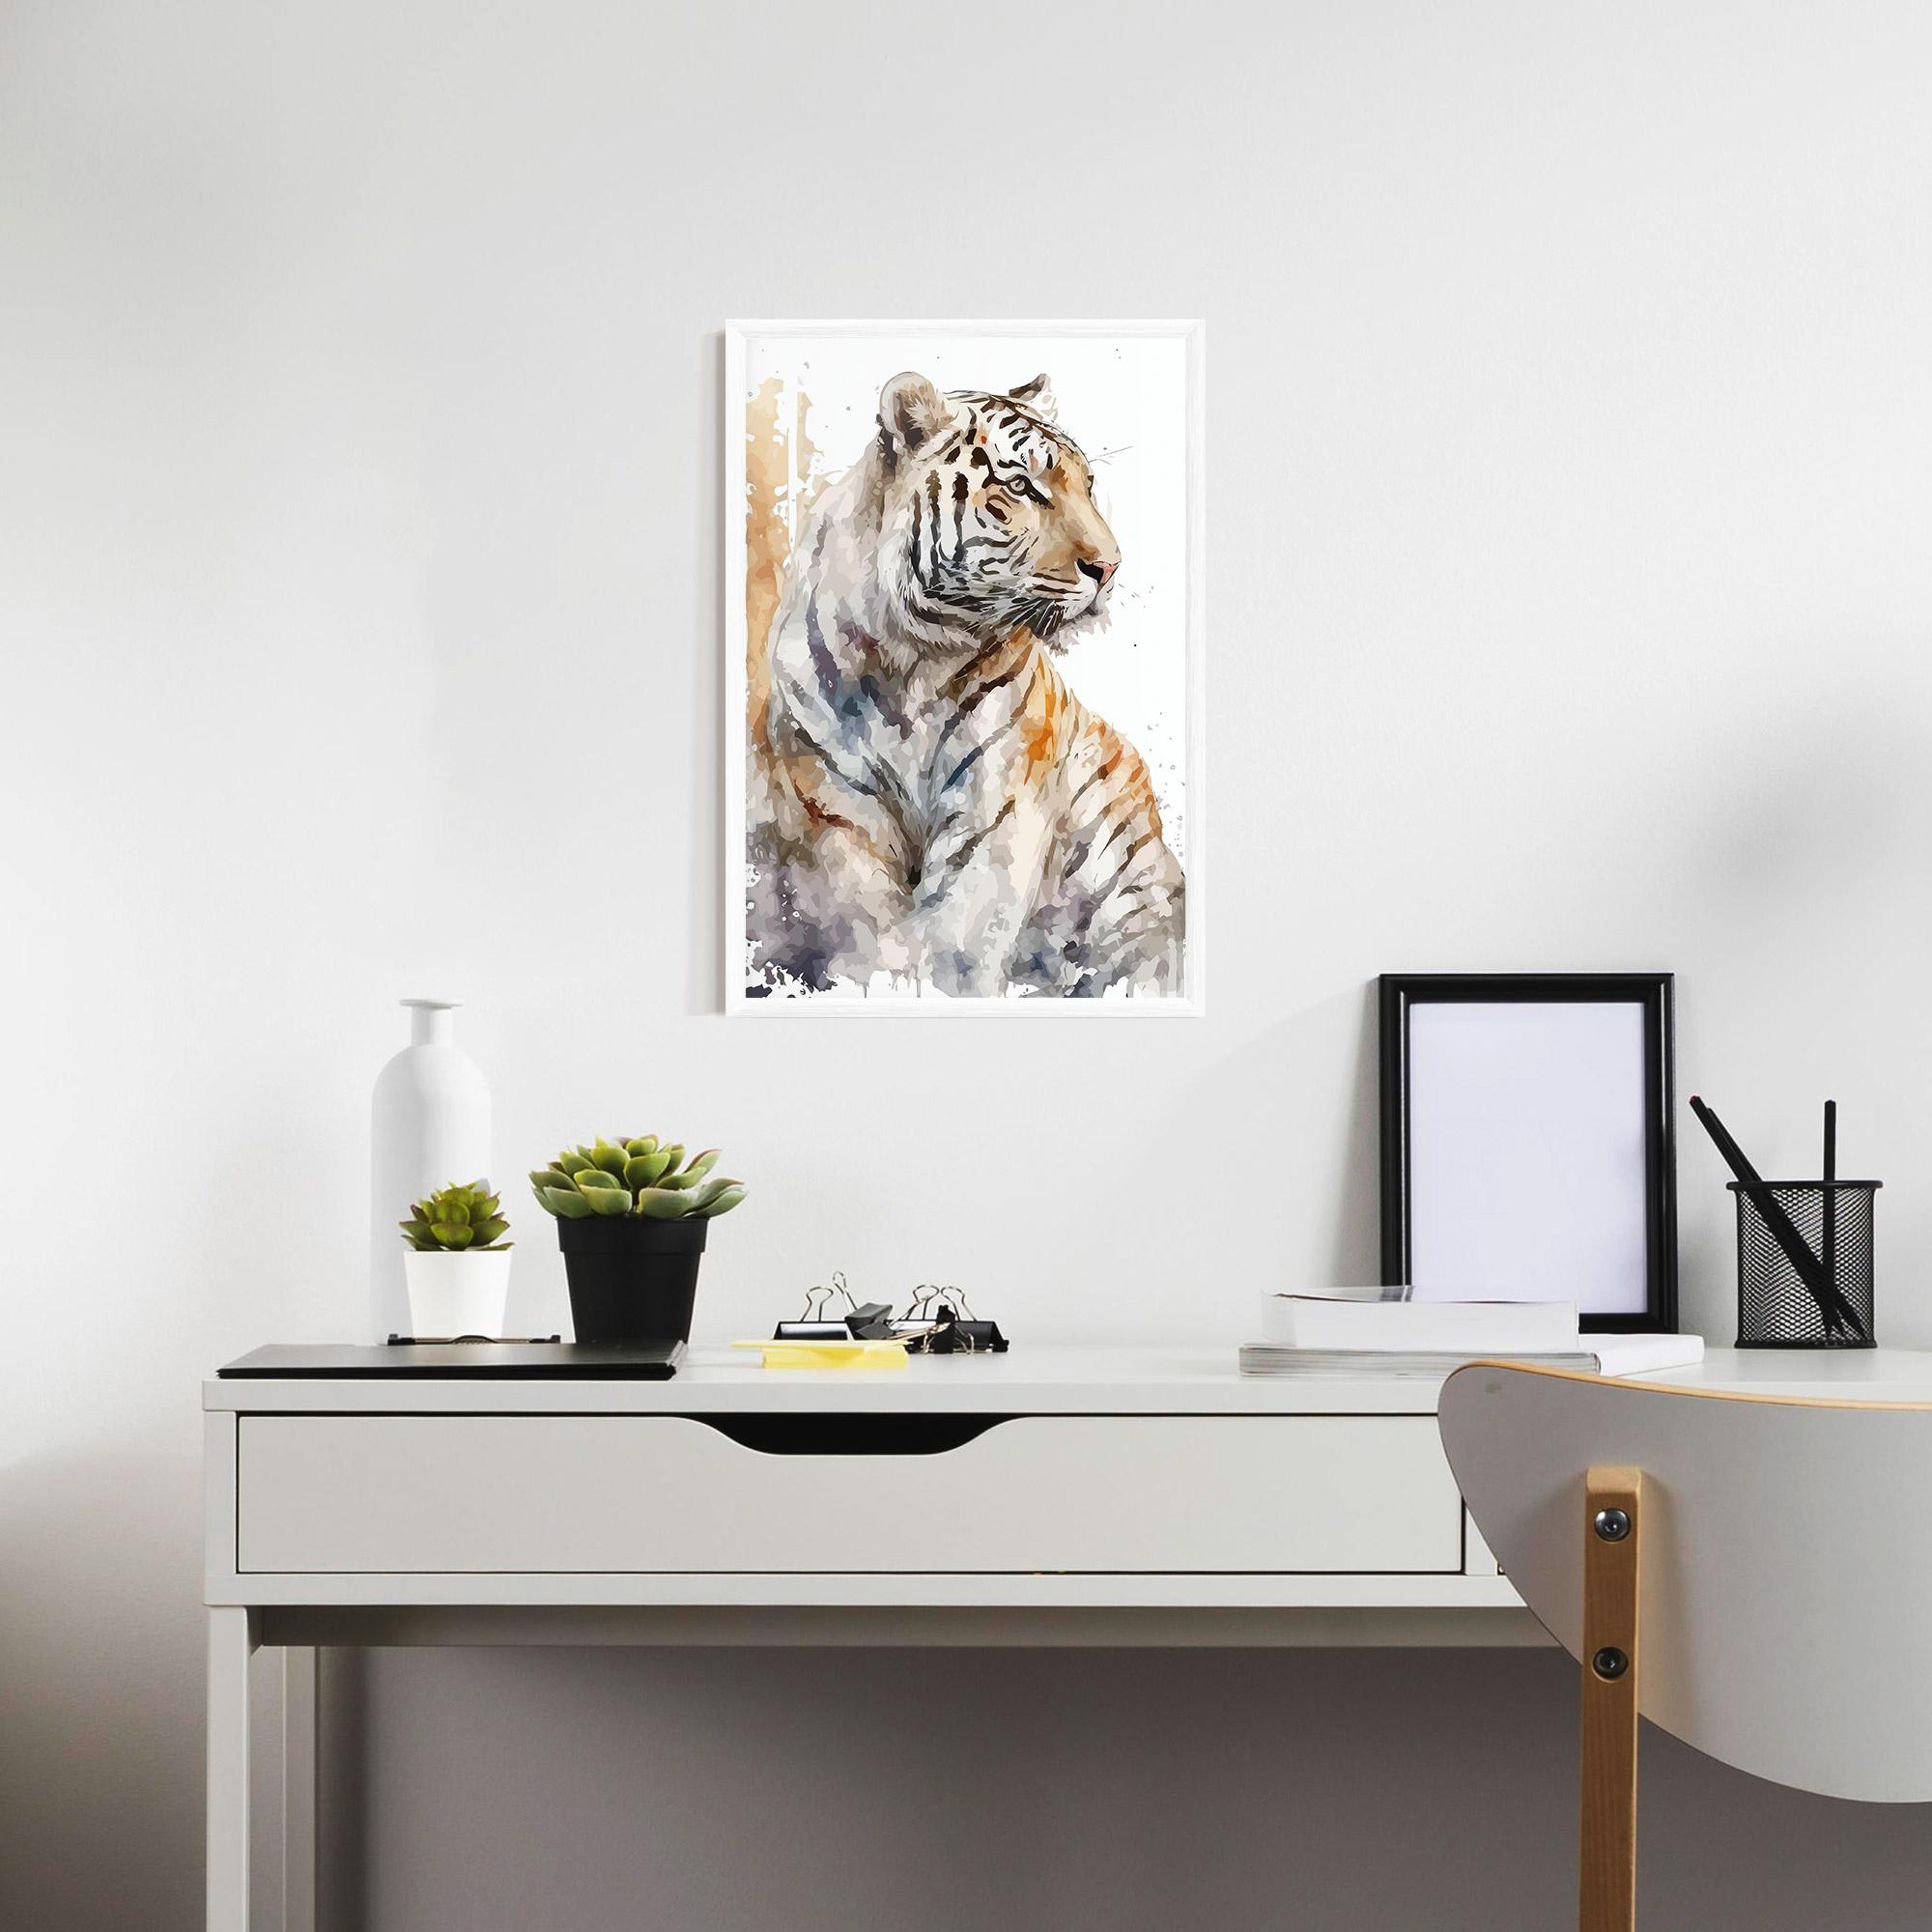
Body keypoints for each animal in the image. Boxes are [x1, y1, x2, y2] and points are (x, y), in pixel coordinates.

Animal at [746, 369, 1185, 1000]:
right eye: (1023, 487)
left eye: (1088, 485)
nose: (1110, 567)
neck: (911, 662)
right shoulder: (836, 810)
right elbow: (863, 930)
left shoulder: (995, 810)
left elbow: (958, 946)